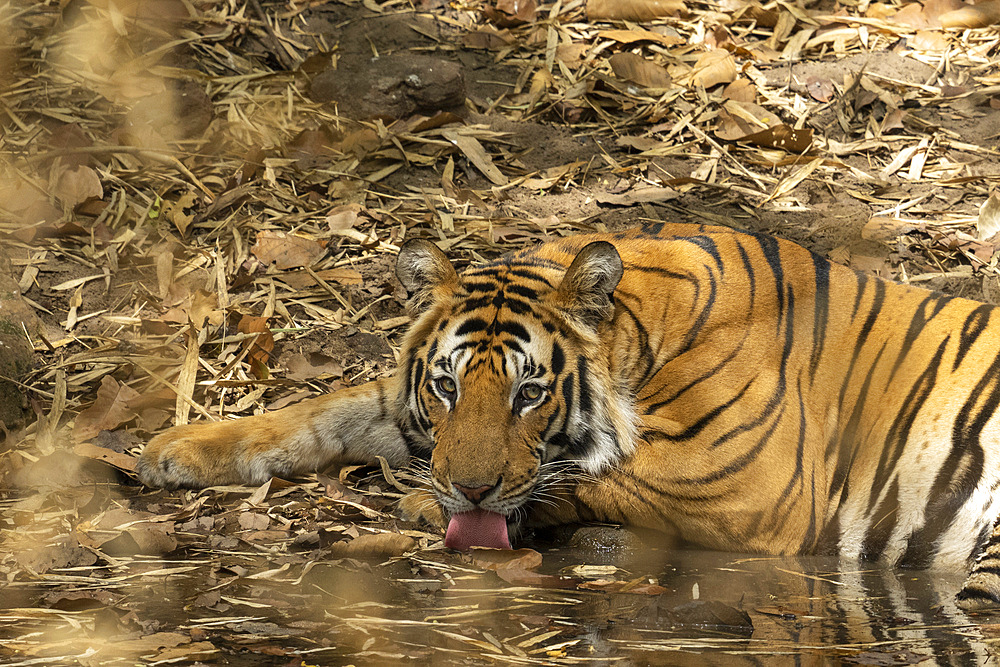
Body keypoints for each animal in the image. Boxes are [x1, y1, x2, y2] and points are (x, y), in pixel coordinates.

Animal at [141, 223, 1000, 612]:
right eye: (447, 386)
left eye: (530, 393)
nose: (468, 489)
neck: (649, 339)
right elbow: (329, 408)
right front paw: (177, 446)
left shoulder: (752, 489)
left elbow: (596, 477)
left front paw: (426, 503)